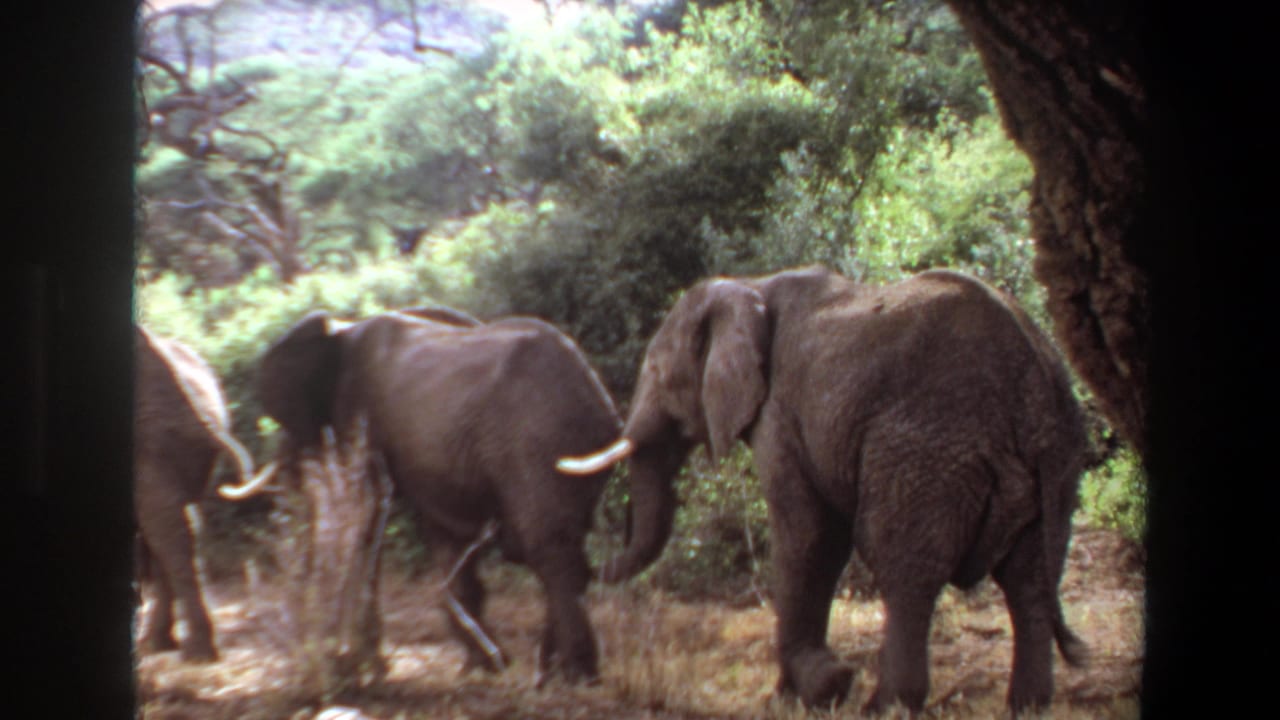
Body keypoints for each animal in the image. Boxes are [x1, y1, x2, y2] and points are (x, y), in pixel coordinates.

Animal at [216, 305, 670, 683]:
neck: (343, 326)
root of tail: (597, 396)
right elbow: (447, 540)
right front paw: (483, 666)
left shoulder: (358, 420)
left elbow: (366, 522)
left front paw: (369, 668)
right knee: (561, 547)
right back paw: (548, 669)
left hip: (536, 443)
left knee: (550, 550)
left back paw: (574, 675)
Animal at [557, 266, 1090, 714]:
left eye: (657, 374)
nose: (588, 555)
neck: (749, 285)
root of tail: (1035, 377)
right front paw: (808, 690)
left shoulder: (778, 414)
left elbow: (811, 536)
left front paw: (811, 690)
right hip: (1058, 463)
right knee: (1030, 578)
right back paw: (1028, 706)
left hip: (928, 451)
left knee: (903, 566)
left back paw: (886, 706)